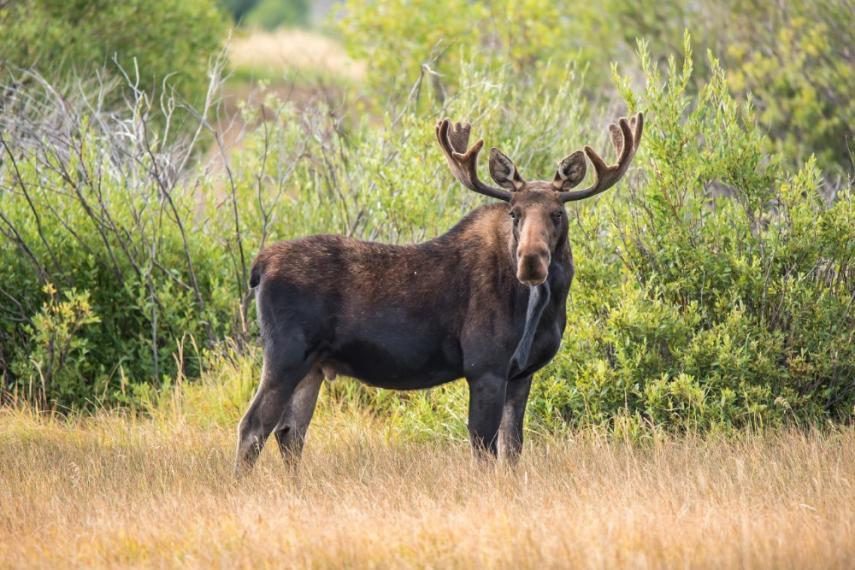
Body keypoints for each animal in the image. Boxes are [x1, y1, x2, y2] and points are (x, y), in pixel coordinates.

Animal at [236, 112, 640, 470]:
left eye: (558, 213)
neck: (545, 308)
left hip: (314, 366)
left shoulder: (522, 374)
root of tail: (259, 267)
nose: (531, 262)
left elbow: (512, 450)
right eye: (514, 213)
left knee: (289, 433)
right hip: (285, 355)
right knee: (254, 426)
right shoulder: (484, 368)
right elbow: (484, 449)